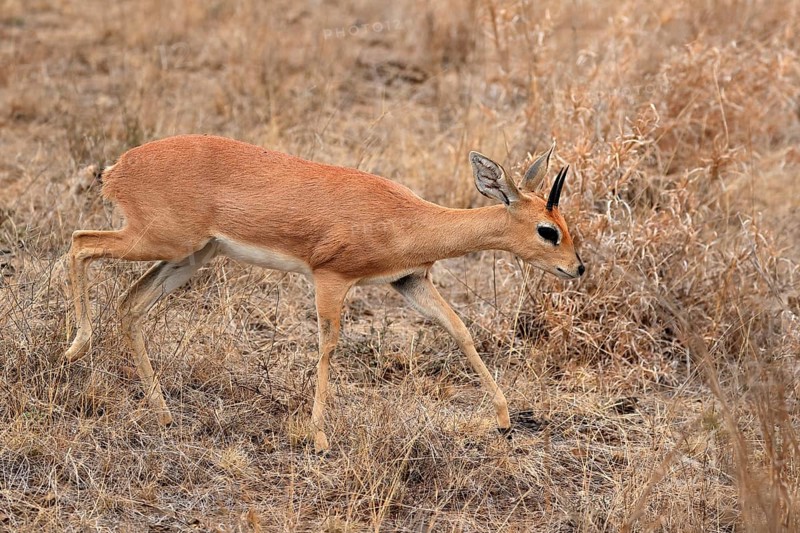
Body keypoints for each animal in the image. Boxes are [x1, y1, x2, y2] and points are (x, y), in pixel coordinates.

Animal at [64, 134, 584, 452]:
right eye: (548, 230)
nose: (577, 268)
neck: (407, 219)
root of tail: (118, 168)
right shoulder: (330, 277)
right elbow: (327, 345)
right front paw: (318, 438)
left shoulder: (410, 281)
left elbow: (460, 330)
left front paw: (504, 418)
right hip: (160, 242)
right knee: (79, 242)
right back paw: (74, 348)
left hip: (190, 256)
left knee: (130, 305)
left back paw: (164, 415)